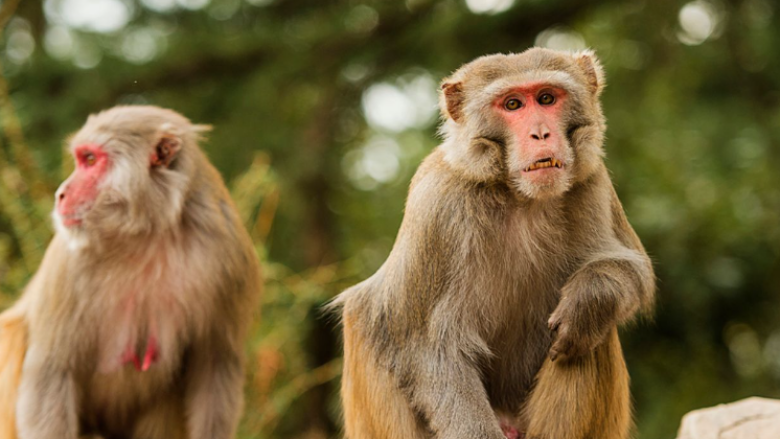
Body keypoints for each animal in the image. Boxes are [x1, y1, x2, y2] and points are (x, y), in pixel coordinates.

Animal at [0, 106, 262, 439]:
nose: (60, 194)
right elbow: (51, 371)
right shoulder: (69, 261)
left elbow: (215, 368)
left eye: (90, 160)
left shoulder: (229, 254)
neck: (147, 234)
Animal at [332, 48, 656, 439]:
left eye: (546, 98)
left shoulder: (592, 179)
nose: (540, 133)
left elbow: (636, 271)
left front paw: (592, 298)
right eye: (513, 104)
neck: (518, 196)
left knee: (589, 336)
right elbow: (428, 347)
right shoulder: (440, 203)